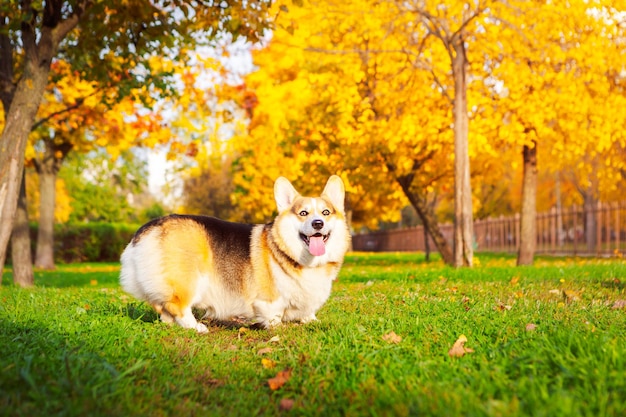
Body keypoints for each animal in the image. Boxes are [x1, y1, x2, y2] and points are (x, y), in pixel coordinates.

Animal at [119, 175, 348, 332]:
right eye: (303, 213)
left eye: (326, 212)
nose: (318, 223)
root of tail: (146, 229)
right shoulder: (269, 300)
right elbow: (273, 315)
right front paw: (279, 327)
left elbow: (308, 312)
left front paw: (312, 320)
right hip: (189, 281)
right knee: (177, 306)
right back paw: (196, 327)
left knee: (163, 308)